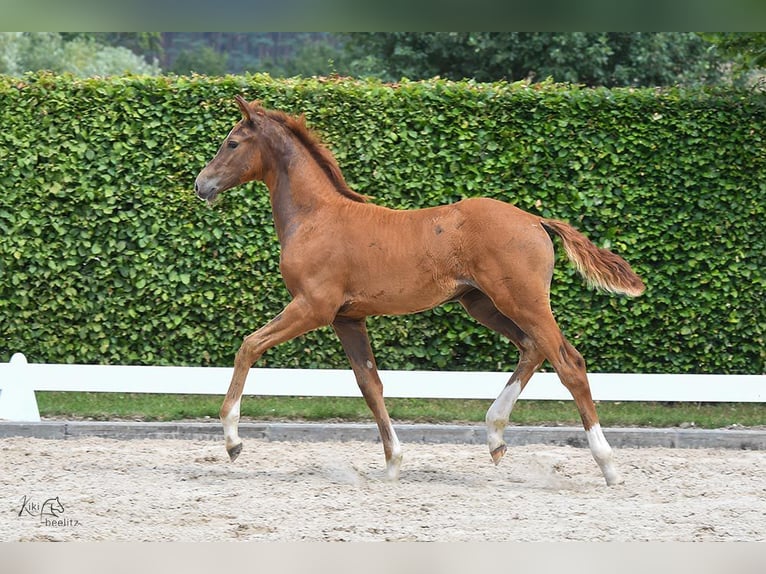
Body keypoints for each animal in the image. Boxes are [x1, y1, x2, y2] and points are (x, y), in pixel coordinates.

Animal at [194, 96, 645, 486]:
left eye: (232, 142)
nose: (202, 185)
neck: (315, 217)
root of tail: (536, 220)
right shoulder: (347, 318)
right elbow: (370, 384)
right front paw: (393, 463)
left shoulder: (313, 307)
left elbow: (249, 345)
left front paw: (233, 440)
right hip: (483, 305)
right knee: (533, 349)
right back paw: (495, 437)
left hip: (523, 301)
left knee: (570, 364)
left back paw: (608, 465)